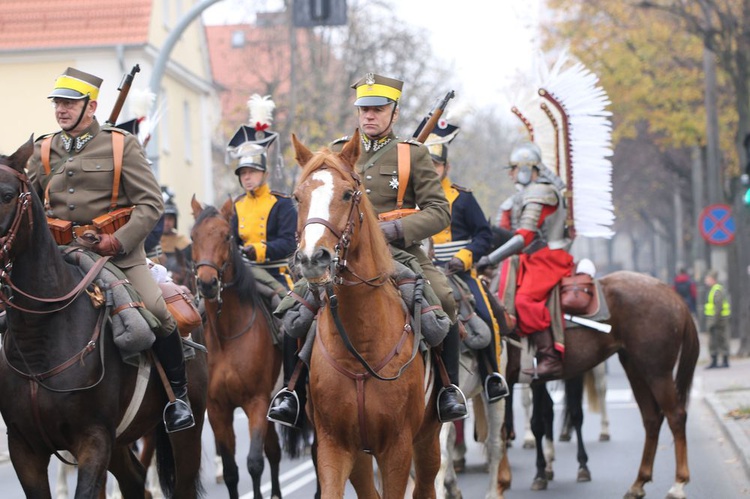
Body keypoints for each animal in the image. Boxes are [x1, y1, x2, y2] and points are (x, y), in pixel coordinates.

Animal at [189, 197, 284, 499]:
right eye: (193, 236)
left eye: (226, 236)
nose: (208, 283)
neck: (227, 337)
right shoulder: (218, 408)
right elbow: (231, 470)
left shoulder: (256, 402)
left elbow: (254, 463)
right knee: (274, 451)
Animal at [290, 133, 444, 499]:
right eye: (297, 197)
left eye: (348, 194)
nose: (312, 259)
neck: (360, 346)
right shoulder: (334, 446)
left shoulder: (397, 449)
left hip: (427, 439)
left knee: (426, 485)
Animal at [496, 272, 704, 498]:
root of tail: (672, 295)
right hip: (635, 368)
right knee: (651, 419)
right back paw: (639, 482)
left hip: (656, 372)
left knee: (675, 416)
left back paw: (678, 484)